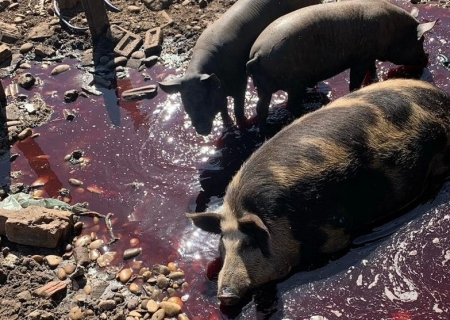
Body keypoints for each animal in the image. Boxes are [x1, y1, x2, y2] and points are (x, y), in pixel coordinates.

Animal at [244, 0, 438, 130]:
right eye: (421, 40)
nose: (427, 58)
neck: (393, 32)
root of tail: (256, 54)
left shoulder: (369, 55)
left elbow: (372, 67)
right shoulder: (361, 58)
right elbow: (355, 80)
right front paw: (356, 89)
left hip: (263, 85)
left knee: (261, 108)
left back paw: (264, 131)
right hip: (292, 81)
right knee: (290, 105)